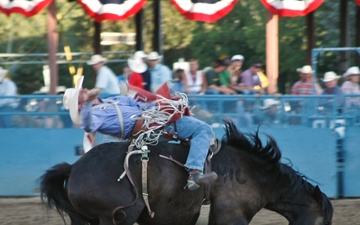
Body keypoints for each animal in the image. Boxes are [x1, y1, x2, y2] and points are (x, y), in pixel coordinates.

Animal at [40, 120, 334, 224]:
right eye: (323, 222)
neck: (253, 173)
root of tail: (74, 168)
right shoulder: (231, 216)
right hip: (117, 217)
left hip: (84, 219)